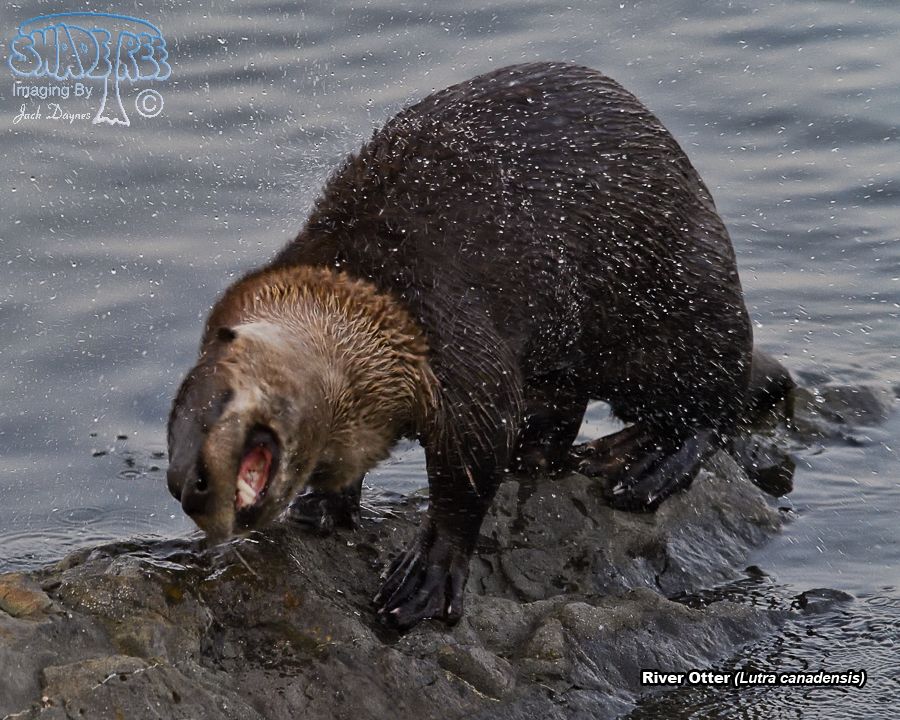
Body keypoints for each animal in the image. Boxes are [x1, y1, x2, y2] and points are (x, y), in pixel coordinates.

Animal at [167, 62, 792, 630]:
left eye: (225, 410)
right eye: (175, 429)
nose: (188, 486)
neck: (376, 309)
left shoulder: (453, 344)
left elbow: (467, 473)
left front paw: (425, 579)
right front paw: (325, 506)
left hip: (679, 304)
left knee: (719, 398)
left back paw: (649, 460)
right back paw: (547, 452)